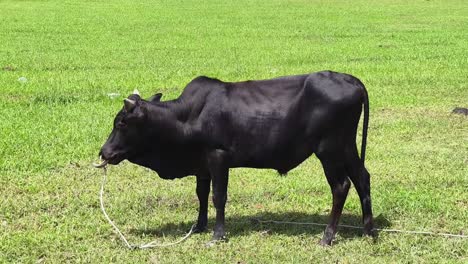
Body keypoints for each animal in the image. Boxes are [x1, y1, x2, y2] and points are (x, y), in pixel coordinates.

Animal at [98, 70, 372, 245]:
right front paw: (199, 226)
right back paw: (369, 230)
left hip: (329, 151)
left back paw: (327, 236)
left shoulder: (218, 158)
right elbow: (201, 195)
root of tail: (351, 80)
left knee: (341, 186)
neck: (185, 117)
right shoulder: (202, 165)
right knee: (362, 179)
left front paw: (217, 235)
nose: (104, 152)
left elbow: (218, 197)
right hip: (347, 147)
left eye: (121, 123)